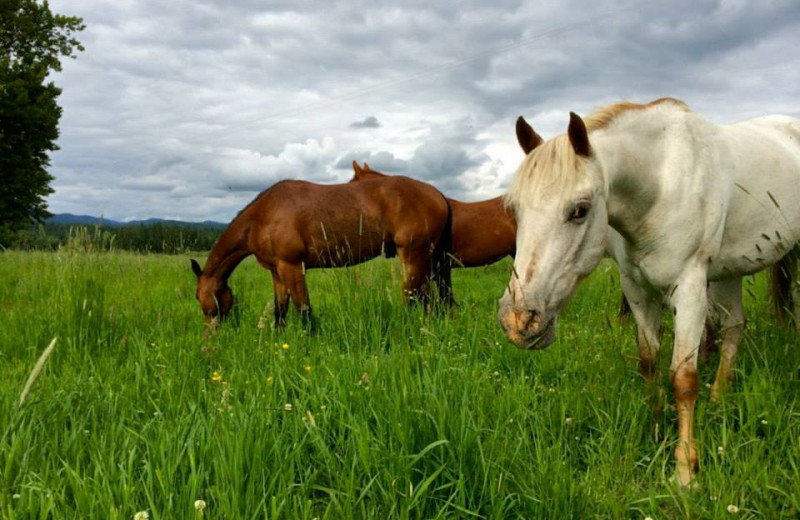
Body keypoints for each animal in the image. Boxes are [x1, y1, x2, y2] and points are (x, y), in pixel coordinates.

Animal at [188, 175, 450, 330]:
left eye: (200, 297)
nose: (210, 336)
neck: (262, 216)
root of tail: (439, 195)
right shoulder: (277, 272)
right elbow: (280, 310)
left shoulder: (292, 266)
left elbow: (303, 309)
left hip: (413, 257)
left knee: (414, 297)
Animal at [500, 98, 800, 488]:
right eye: (515, 209)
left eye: (579, 210)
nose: (519, 320)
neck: (660, 184)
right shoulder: (637, 290)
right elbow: (649, 361)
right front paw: (656, 427)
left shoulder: (689, 289)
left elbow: (683, 379)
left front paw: (685, 471)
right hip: (727, 274)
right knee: (735, 326)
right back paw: (719, 398)